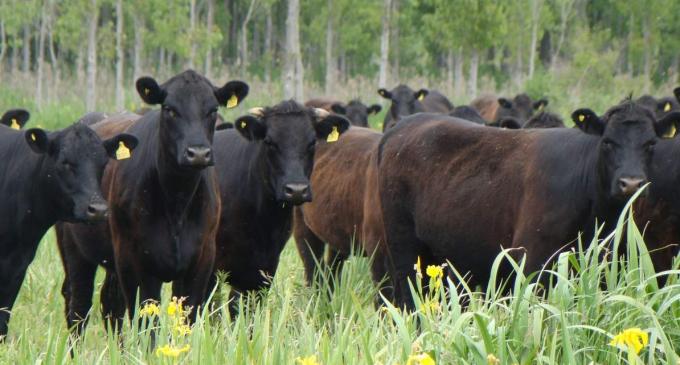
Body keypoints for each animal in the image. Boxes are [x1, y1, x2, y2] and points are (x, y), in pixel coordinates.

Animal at [55, 69, 247, 334]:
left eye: (213, 109)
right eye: (170, 109)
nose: (198, 153)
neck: (177, 204)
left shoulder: (201, 261)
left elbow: (187, 320)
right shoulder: (135, 262)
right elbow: (146, 324)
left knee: (109, 302)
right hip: (75, 251)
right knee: (78, 306)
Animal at [378, 101, 680, 308]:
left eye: (651, 143)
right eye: (607, 142)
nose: (631, 183)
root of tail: (403, 125)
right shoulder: (533, 261)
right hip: (404, 249)